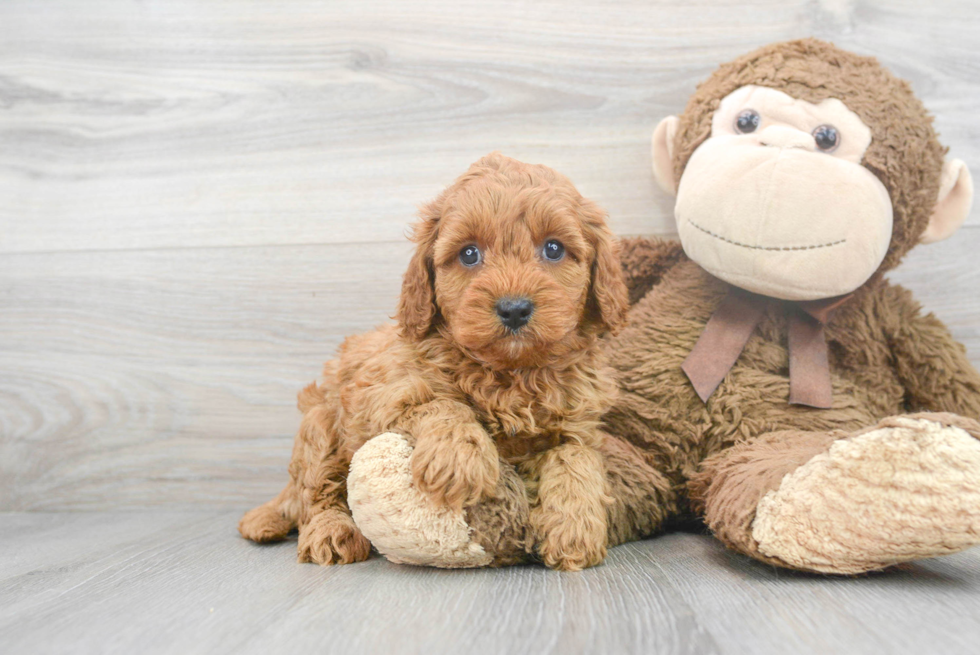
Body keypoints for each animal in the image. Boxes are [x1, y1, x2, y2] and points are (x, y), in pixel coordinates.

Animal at [241, 152, 632, 568]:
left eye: (554, 249)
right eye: (469, 254)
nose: (513, 309)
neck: (511, 374)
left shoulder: (579, 424)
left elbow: (577, 457)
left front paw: (576, 528)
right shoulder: (382, 394)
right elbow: (440, 403)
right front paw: (459, 457)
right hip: (321, 425)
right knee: (317, 490)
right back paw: (330, 531)